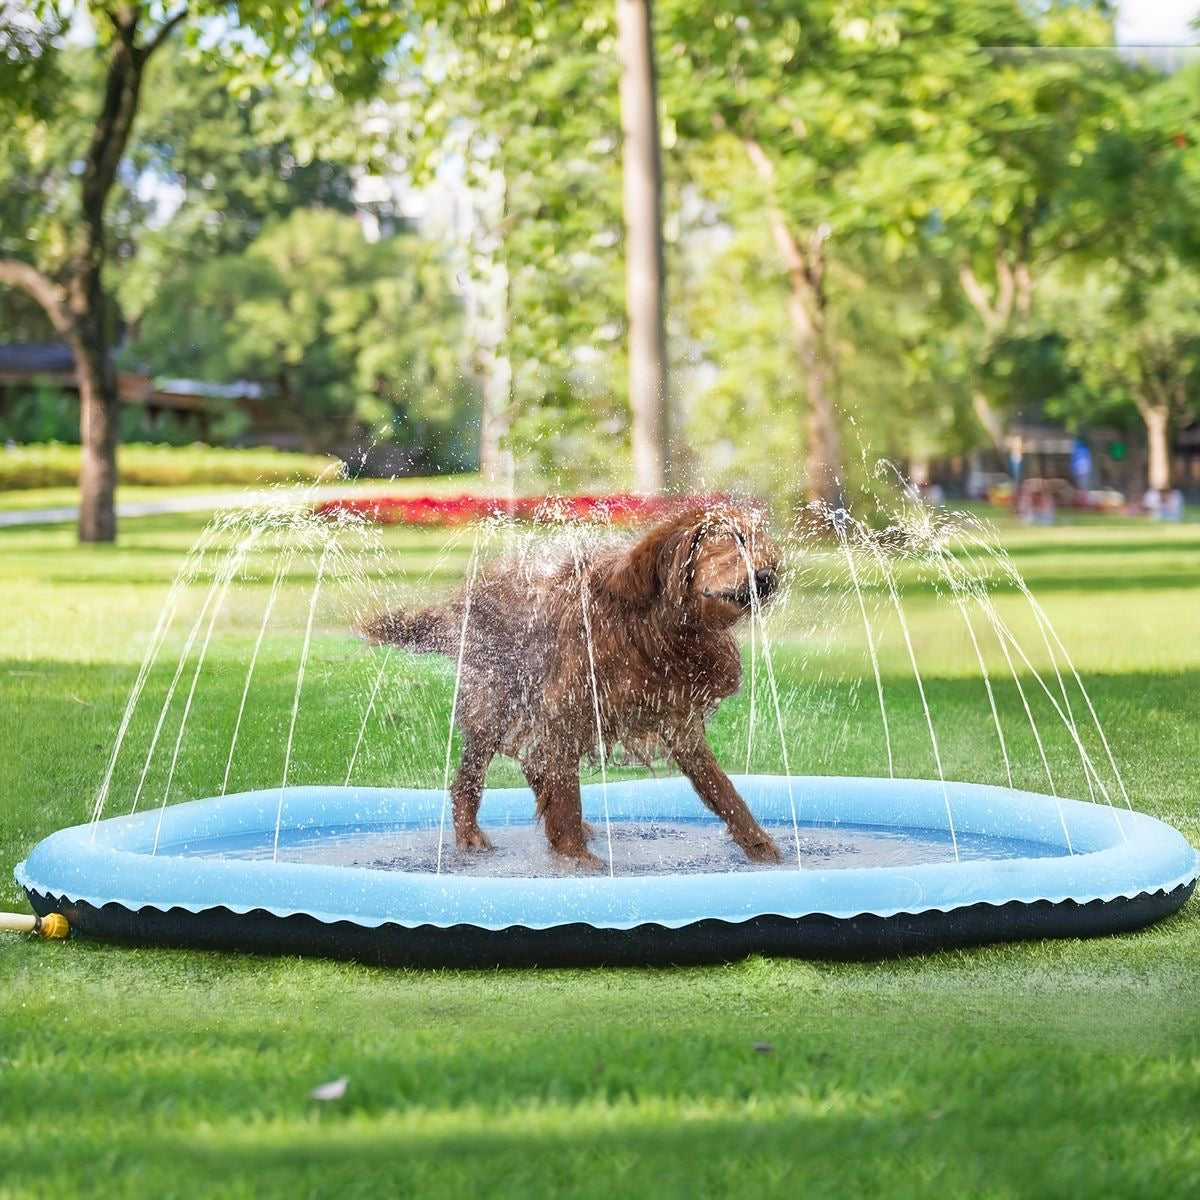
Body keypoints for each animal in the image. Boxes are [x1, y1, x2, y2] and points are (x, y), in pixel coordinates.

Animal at [360, 506, 782, 873]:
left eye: (767, 550)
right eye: (736, 540)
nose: (768, 577)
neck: (650, 624)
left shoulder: (677, 722)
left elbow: (725, 792)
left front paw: (763, 850)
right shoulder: (565, 708)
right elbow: (566, 796)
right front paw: (575, 862)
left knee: (533, 765)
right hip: (494, 706)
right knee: (469, 783)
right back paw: (470, 840)